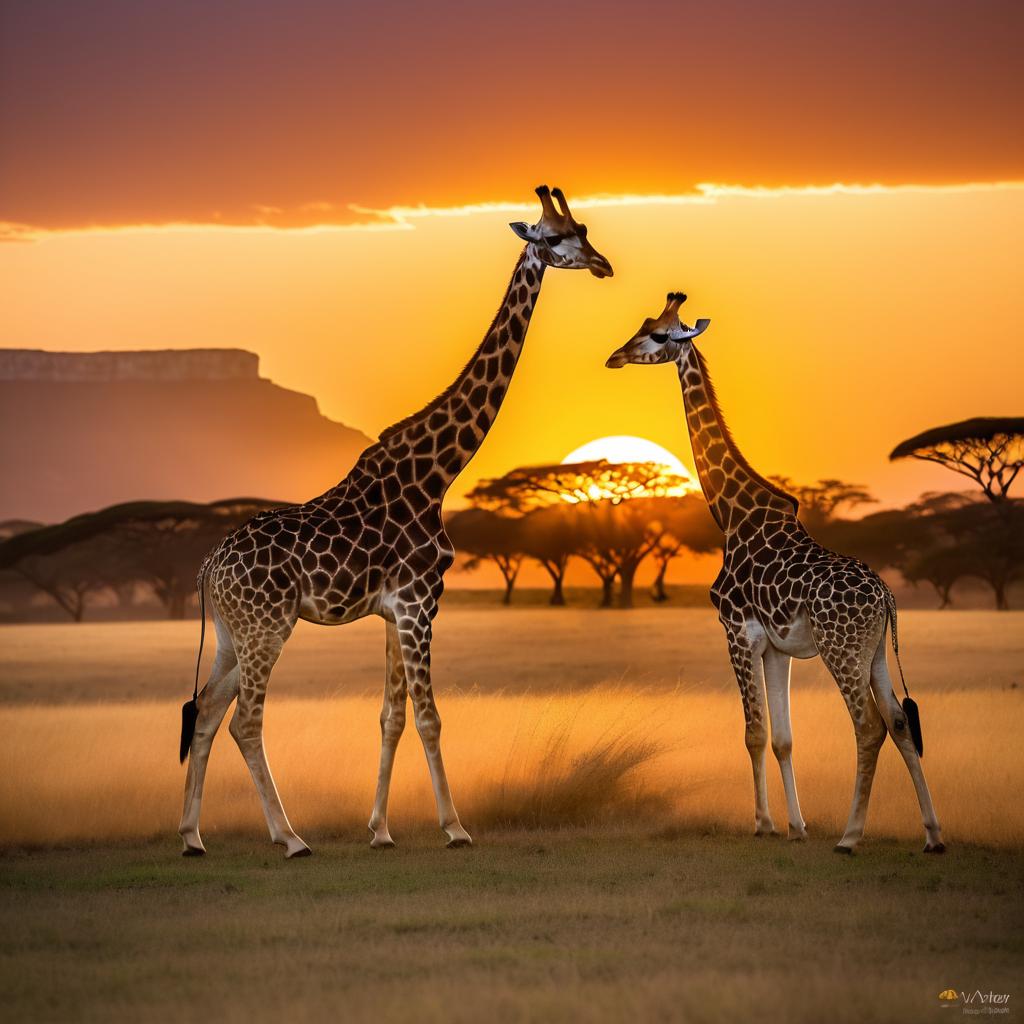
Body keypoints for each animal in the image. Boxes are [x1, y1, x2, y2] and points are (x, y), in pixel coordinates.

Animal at [177, 184, 610, 856]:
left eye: (583, 229)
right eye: (555, 237)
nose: (602, 265)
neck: (437, 472)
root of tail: (207, 569)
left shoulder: (392, 610)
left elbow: (392, 715)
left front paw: (379, 829)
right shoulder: (419, 601)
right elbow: (429, 716)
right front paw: (455, 827)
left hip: (231, 632)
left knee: (204, 709)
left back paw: (193, 837)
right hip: (268, 626)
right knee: (244, 719)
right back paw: (290, 837)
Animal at [602, 292, 946, 851]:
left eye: (657, 335)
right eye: (646, 323)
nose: (615, 356)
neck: (732, 515)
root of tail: (886, 598)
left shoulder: (737, 631)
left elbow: (754, 733)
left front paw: (763, 823)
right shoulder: (776, 647)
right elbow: (784, 737)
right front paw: (796, 826)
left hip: (840, 649)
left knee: (869, 725)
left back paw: (850, 836)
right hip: (872, 651)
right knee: (898, 722)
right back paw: (933, 834)